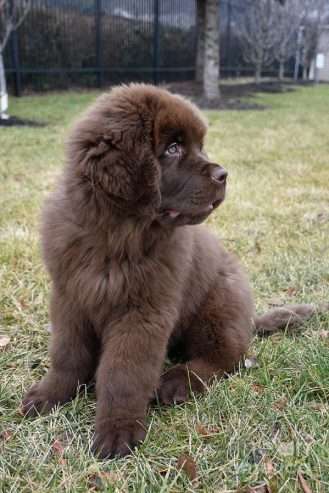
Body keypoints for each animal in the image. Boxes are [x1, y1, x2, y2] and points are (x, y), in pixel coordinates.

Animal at [21, 83, 324, 458]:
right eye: (173, 148)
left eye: (200, 145)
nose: (224, 175)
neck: (115, 235)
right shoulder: (69, 298)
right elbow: (67, 354)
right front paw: (49, 395)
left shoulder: (143, 313)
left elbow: (123, 373)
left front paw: (118, 429)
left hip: (216, 307)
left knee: (225, 358)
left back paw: (177, 382)